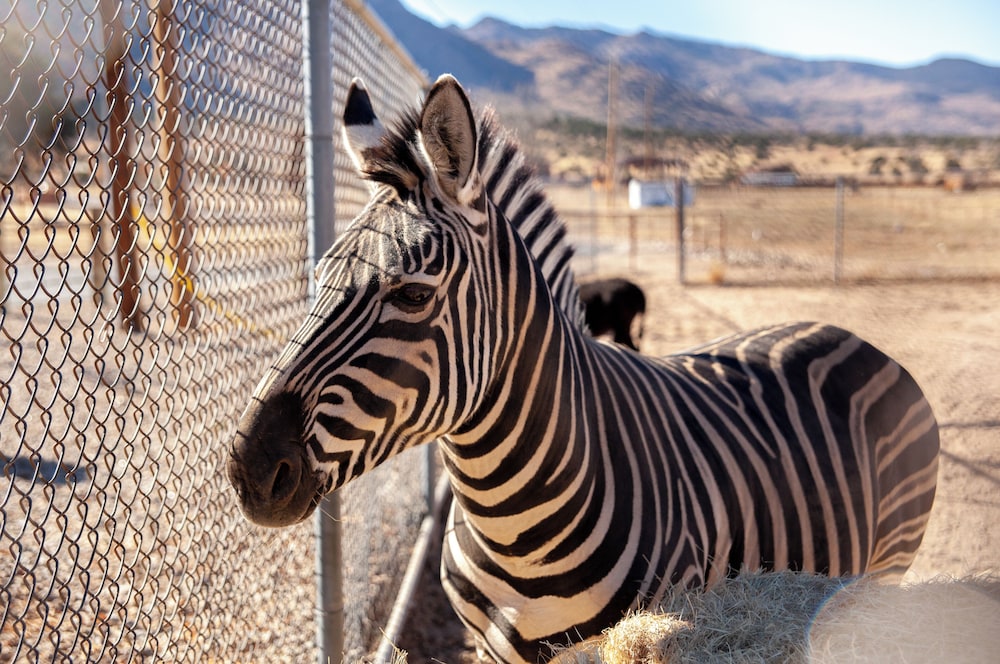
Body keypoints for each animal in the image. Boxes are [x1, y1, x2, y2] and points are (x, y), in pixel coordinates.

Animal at [228, 75, 940, 663]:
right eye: (318, 276)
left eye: (411, 295)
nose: (247, 470)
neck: (507, 521)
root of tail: (841, 329)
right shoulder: (491, 649)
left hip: (890, 561)